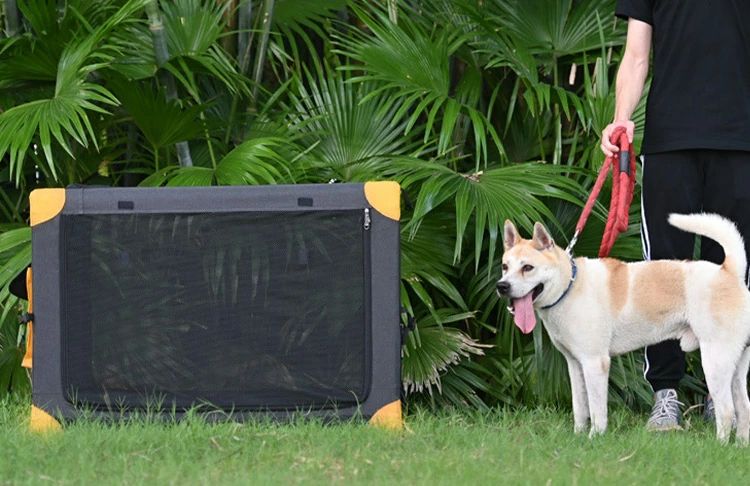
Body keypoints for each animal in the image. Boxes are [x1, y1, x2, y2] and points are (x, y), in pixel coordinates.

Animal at [500, 213, 750, 444]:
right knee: (744, 407)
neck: (570, 286)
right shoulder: (575, 365)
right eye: (504, 266)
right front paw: (578, 437)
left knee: (727, 410)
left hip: (715, 361)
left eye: (528, 267)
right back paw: (739, 445)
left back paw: (719, 445)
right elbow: (580, 407)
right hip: (736, 366)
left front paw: (594, 438)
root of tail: (729, 272)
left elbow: (597, 410)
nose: (501, 286)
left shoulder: (595, 363)